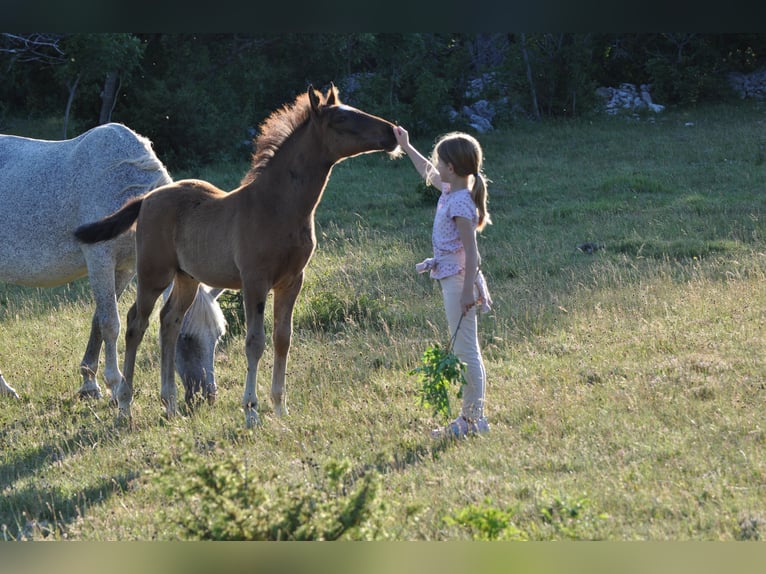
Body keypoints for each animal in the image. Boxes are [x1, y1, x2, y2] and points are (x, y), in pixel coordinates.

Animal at [0, 124, 226, 408]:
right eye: (186, 337)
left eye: (217, 335)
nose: (206, 396)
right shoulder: (100, 260)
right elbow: (111, 323)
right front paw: (117, 386)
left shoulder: (125, 269)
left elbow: (98, 320)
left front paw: (89, 384)